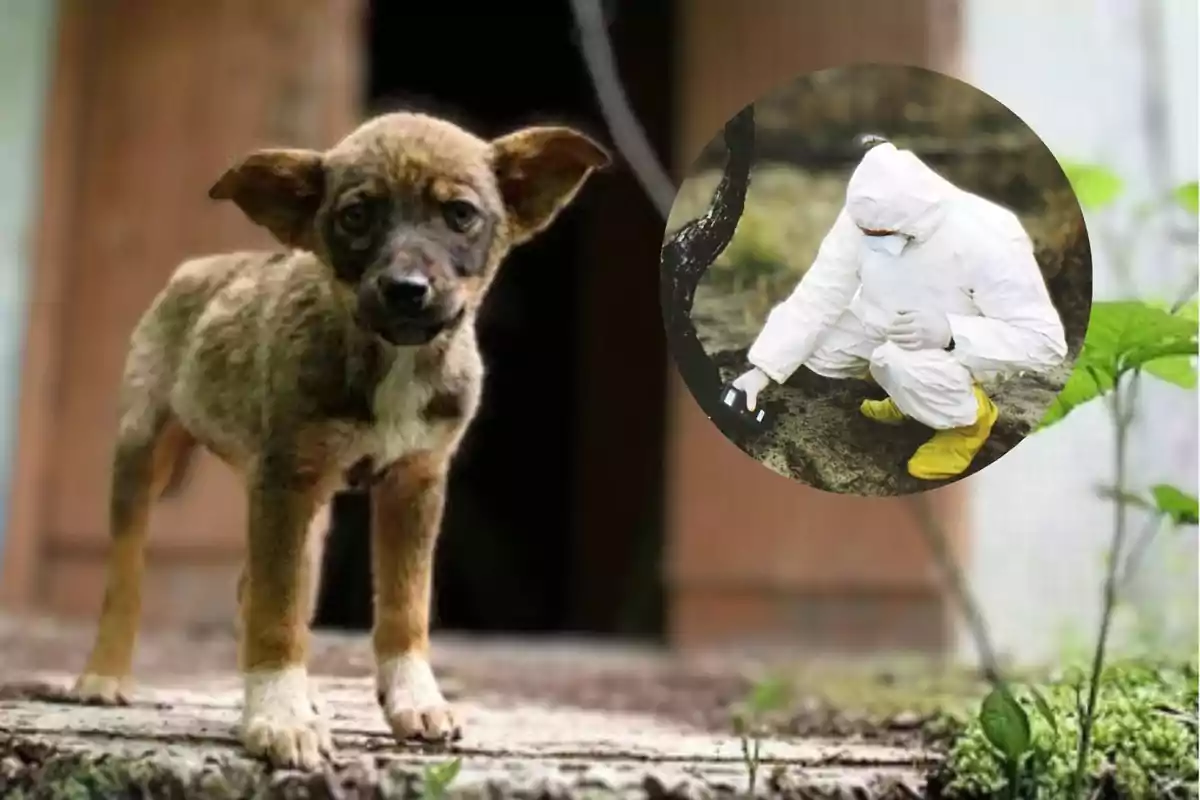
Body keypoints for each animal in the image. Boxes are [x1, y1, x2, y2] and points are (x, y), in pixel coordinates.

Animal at [68, 110, 609, 767]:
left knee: (261, 585)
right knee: (127, 573)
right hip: (145, 453)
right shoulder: (284, 480)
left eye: (460, 214)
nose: (406, 289)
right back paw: (105, 676)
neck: (393, 359)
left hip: (309, 511)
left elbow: (404, 604)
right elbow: (276, 611)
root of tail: (197, 267)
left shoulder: (415, 482)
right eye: (356, 216)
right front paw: (278, 717)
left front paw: (410, 699)